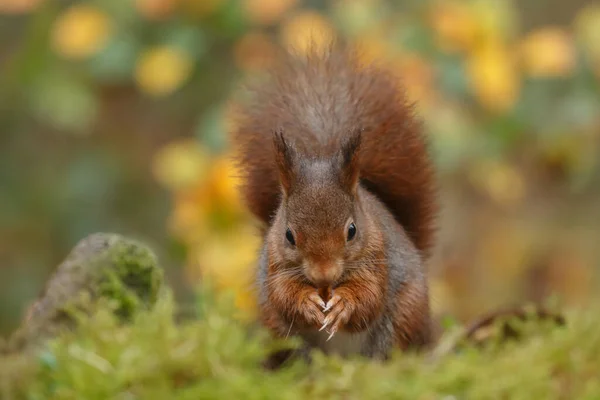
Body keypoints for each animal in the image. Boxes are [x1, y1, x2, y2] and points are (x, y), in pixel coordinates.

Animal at [230, 42, 436, 360]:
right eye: (289, 235)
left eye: (352, 230)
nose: (324, 276)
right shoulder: (276, 263)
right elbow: (282, 294)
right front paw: (306, 303)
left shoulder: (377, 256)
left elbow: (369, 297)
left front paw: (344, 305)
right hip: (278, 332)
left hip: (405, 316)